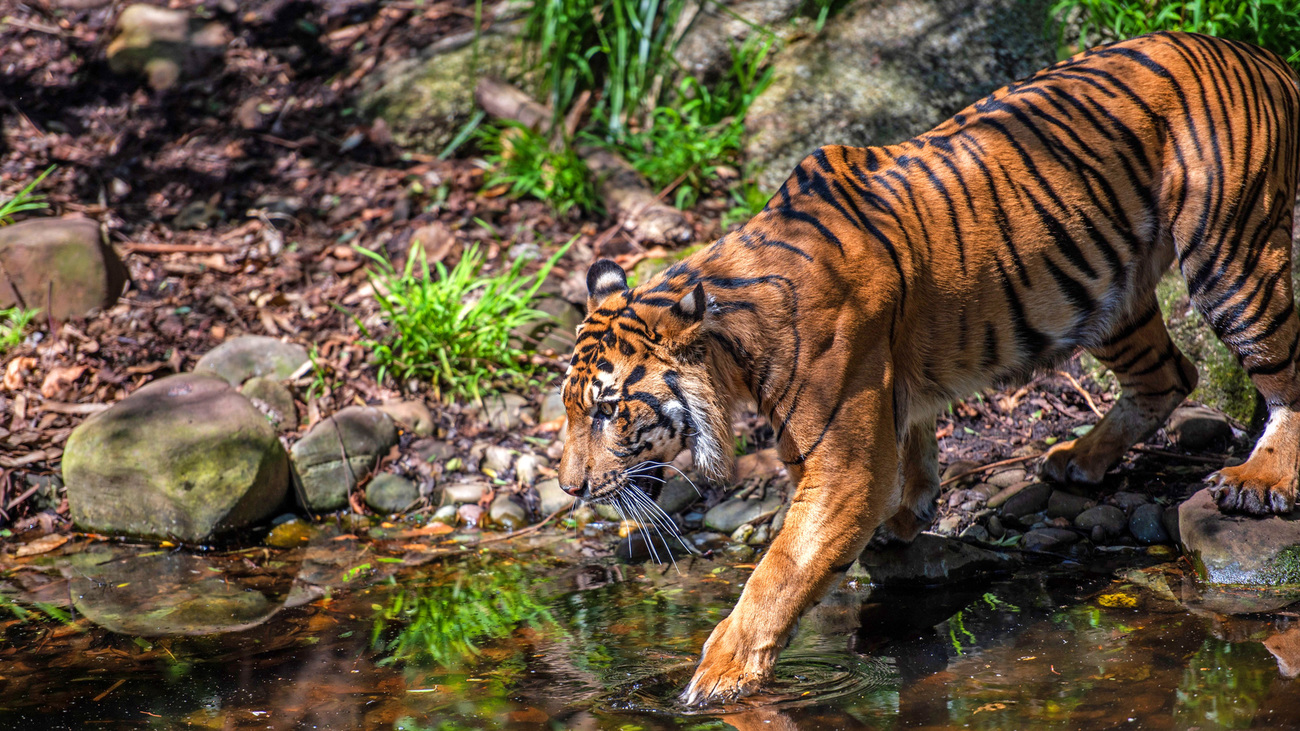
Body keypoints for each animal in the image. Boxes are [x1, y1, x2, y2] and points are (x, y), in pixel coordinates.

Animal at [556, 31, 1300, 702]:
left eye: (607, 410)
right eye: (569, 408)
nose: (568, 488)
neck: (734, 347)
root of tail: (1256, 52)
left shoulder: (842, 464)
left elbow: (781, 570)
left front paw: (716, 677)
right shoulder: (889, 399)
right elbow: (913, 448)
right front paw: (907, 516)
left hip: (1230, 255)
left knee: (1280, 372)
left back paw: (1260, 479)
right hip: (1105, 292)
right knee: (1168, 374)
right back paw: (1077, 460)